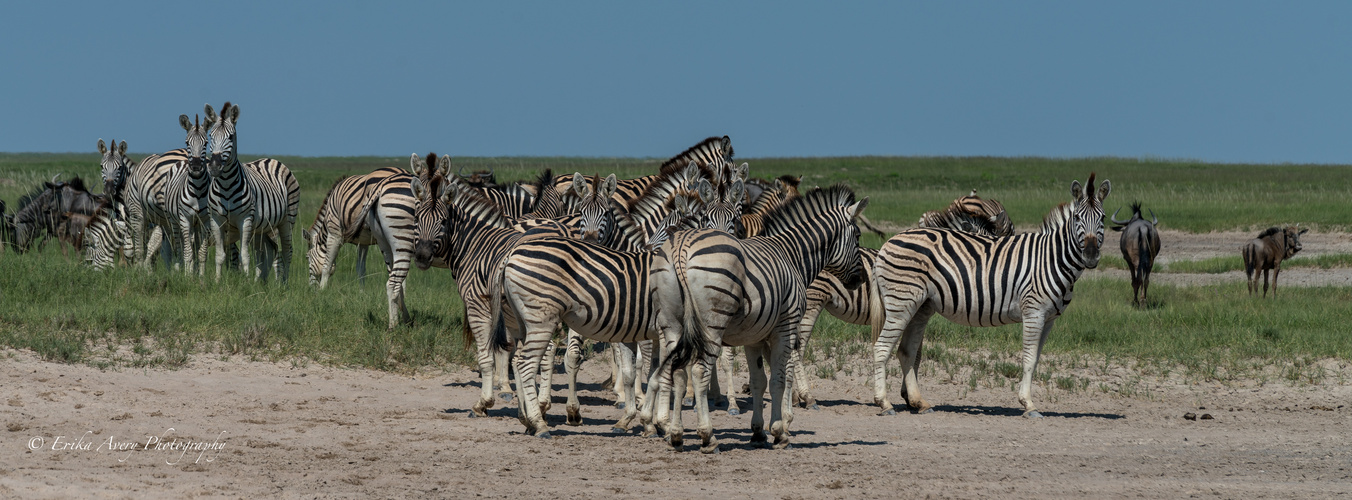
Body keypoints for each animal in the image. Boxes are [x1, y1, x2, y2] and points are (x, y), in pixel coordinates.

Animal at [205, 102, 301, 281]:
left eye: (230, 137)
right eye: (210, 137)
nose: (214, 167)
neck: (226, 185)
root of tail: (272, 159)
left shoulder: (245, 220)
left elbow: (244, 255)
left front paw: (245, 282)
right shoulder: (216, 220)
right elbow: (220, 255)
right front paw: (217, 281)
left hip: (287, 220)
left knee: (287, 251)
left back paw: (284, 283)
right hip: (262, 226)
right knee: (269, 249)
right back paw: (260, 282)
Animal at [306, 166, 416, 328]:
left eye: (307, 258)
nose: (310, 290)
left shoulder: (335, 233)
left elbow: (327, 265)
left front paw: (322, 292)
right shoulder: (363, 242)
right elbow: (361, 269)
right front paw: (362, 294)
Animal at [640, 186, 865, 454]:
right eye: (858, 236)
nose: (862, 278)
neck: (792, 255)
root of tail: (681, 246)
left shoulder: (754, 335)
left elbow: (759, 381)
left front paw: (758, 432)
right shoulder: (786, 327)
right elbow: (779, 379)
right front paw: (779, 432)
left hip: (671, 324)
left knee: (678, 372)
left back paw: (676, 435)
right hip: (711, 324)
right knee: (698, 371)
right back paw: (708, 437)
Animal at [870, 174, 1114, 416]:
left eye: (1102, 218)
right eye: (1077, 217)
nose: (1091, 255)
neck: (1051, 258)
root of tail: (889, 242)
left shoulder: (1049, 319)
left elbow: (1036, 359)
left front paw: (1028, 400)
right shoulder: (1033, 312)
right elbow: (1028, 359)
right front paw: (1028, 404)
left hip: (921, 306)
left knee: (907, 351)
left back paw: (919, 402)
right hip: (901, 303)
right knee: (881, 348)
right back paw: (884, 403)